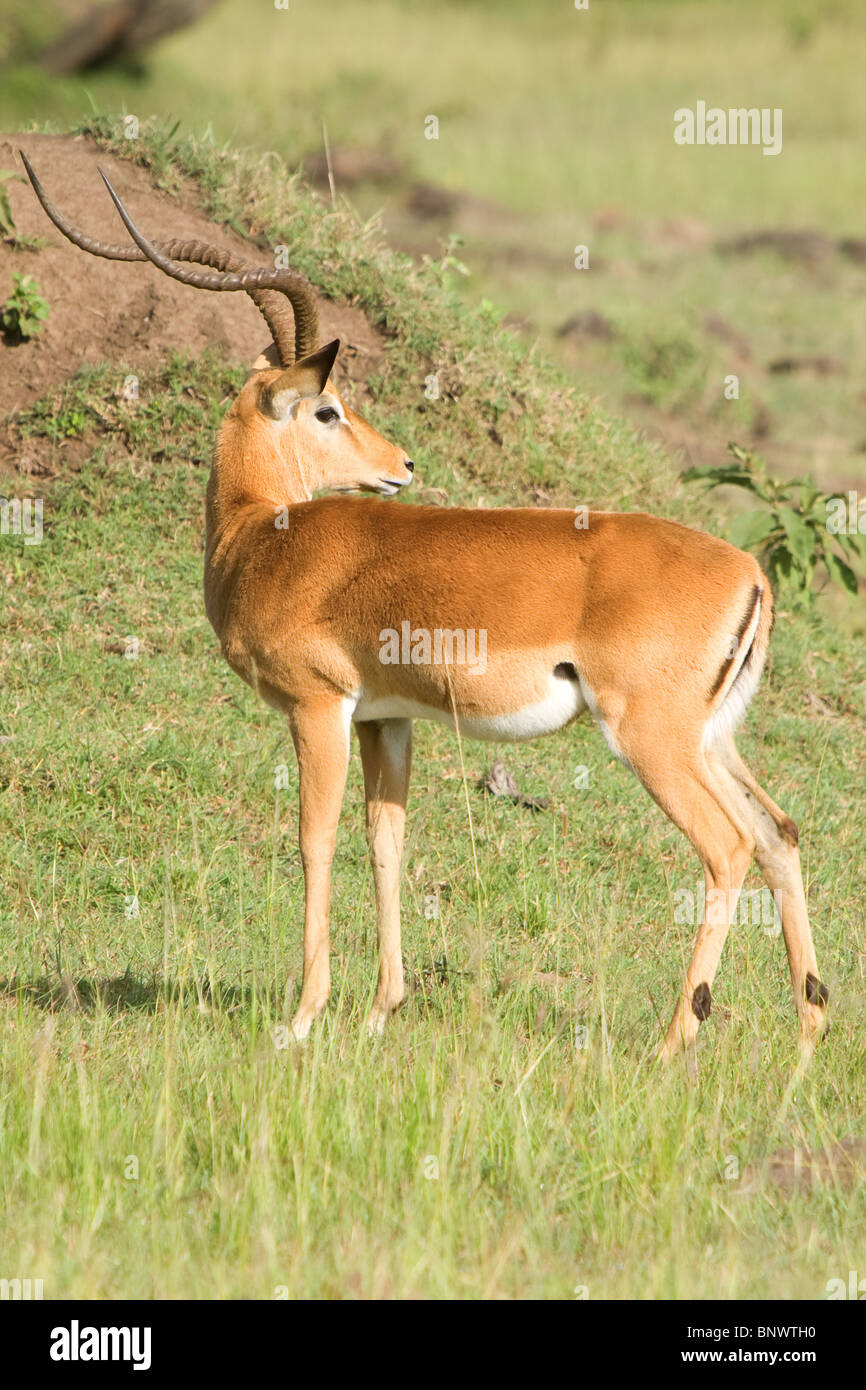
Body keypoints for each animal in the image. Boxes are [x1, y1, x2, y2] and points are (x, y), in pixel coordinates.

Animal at [22, 153, 829, 1061]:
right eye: (330, 408)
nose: (402, 464)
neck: (261, 535)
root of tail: (750, 572)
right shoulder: (387, 720)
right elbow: (387, 841)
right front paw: (381, 1011)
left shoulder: (319, 708)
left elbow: (314, 840)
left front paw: (301, 1019)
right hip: (711, 737)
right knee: (779, 833)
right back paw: (809, 1031)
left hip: (651, 739)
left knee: (727, 847)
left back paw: (672, 1041)